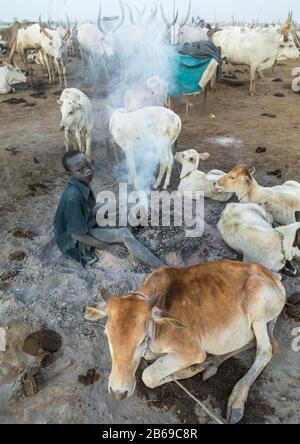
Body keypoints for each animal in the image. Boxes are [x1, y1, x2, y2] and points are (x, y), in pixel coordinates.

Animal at [85, 262, 286, 424]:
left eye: (142, 339)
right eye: (108, 335)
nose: (118, 393)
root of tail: (273, 276)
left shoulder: (191, 351)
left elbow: (148, 376)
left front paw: (186, 370)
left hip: (258, 312)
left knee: (264, 351)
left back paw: (236, 400)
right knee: (251, 342)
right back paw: (210, 364)